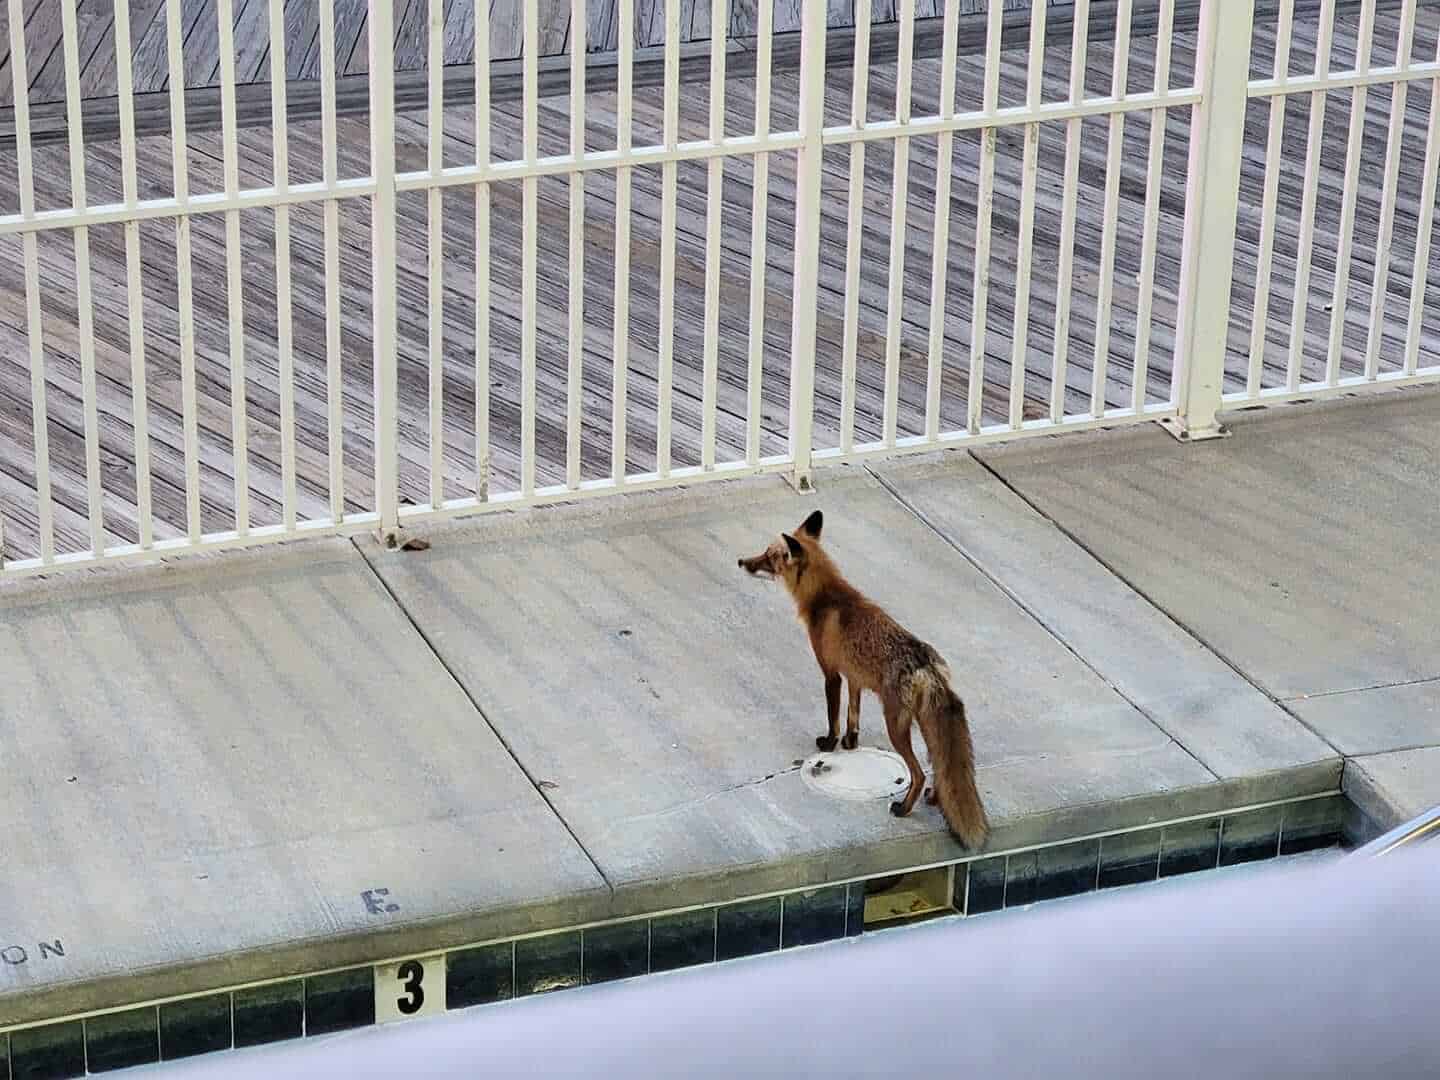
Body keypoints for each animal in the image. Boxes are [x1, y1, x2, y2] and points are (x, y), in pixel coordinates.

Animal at [743, 512, 990, 852]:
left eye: (769, 556)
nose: (742, 561)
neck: (824, 598)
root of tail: (926, 664)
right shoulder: (854, 677)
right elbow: (853, 715)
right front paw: (850, 743)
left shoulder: (831, 673)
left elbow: (834, 716)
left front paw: (830, 743)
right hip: (925, 727)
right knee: (940, 768)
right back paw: (935, 799)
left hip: (896, 726)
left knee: (919, 773)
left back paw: (904, 808)